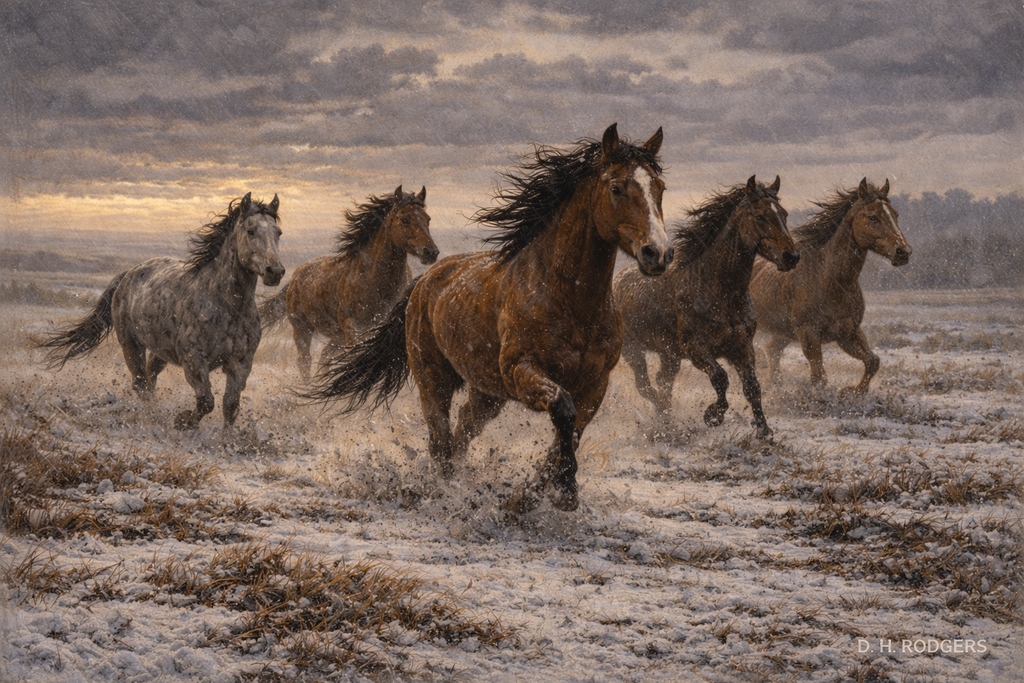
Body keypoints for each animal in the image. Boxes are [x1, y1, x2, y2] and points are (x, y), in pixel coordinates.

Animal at [40, 193, 285, 430]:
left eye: (278, 233)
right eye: (250, 230)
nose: (275, 271)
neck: (227, 307)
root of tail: (128, 274)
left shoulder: (241, 363)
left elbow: (230, 407)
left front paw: (227, 440)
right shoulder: (194, 360)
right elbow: (206, 401)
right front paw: (182, 421)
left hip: (160, 351)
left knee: (150, 380)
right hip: (131, 346)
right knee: (141, 384)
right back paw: (153, 418)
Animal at [259, 186, 437, 381]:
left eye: (428, 219)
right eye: (405, 219)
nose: (431, 252)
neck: (377, 280)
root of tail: (296, 276)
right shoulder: (354, 330)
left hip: (337, 337)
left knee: (325, 356)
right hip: (302, 329)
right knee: (304, 361)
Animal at [306, 124, 673, 512]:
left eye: (660, 188)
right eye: (616, 188)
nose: (658, 253)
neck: (570, 299)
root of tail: (424, 280)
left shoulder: (596, 384)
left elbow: (571, 432)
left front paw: (543, 490)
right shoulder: (521, 371)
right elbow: (562, 410)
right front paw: (563, 488)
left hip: (486, 393)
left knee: (463, 429)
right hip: (433, 379)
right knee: (440, 437)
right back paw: (446, 488)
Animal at [613, 176, 799, 439]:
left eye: (783, 214)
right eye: (759, 215)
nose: (791, 256)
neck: (715, 289)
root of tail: (618, 280)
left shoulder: (741, 346)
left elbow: (752, 387)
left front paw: (764, 432)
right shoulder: (695, 347)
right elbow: (720, 377)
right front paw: (712, 415)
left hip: (668, 354)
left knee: (663, 382)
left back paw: (667, 421)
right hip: (633, 351)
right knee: (646, 387)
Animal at [749, 178, 911, 395]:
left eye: (895, 215)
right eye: (873, 217)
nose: (903, 251)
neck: (830, 282)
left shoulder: (847, 333)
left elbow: (872, 361)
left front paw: (852, 392)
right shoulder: (808, 333)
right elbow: (819, 377)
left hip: (783, 332)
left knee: (771, 349)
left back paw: (776, 386)